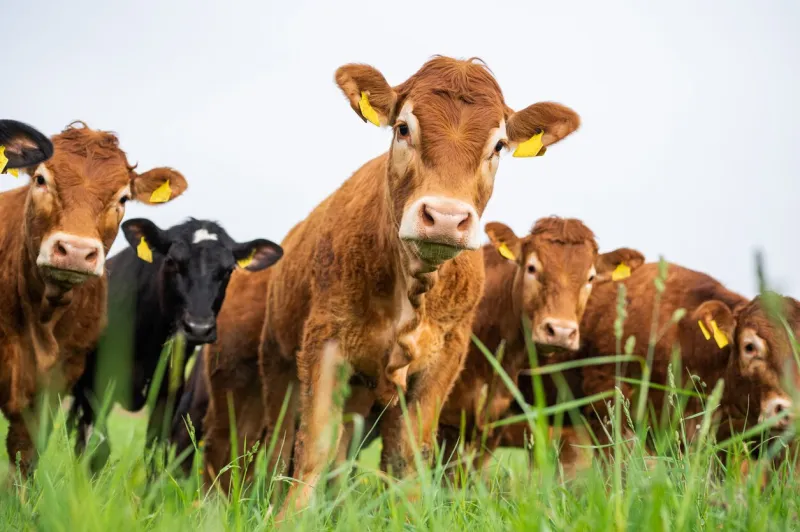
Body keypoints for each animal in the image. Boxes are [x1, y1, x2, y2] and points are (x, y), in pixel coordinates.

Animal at [67, 217, 283, 472]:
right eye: (171, 261)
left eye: (228, 270)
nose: (198, 327)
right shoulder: (95, 386)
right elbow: (99, 450)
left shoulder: (168, 393)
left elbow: (156, 451)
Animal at [200, 55, 581, 515]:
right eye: (403, 128)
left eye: (498, 146)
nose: (446, 217)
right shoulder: (324, 343)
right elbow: (313, 446)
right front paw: (291, 516)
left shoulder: (443, 360)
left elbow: (407, 456)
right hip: (261, 372)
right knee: (255, 445)